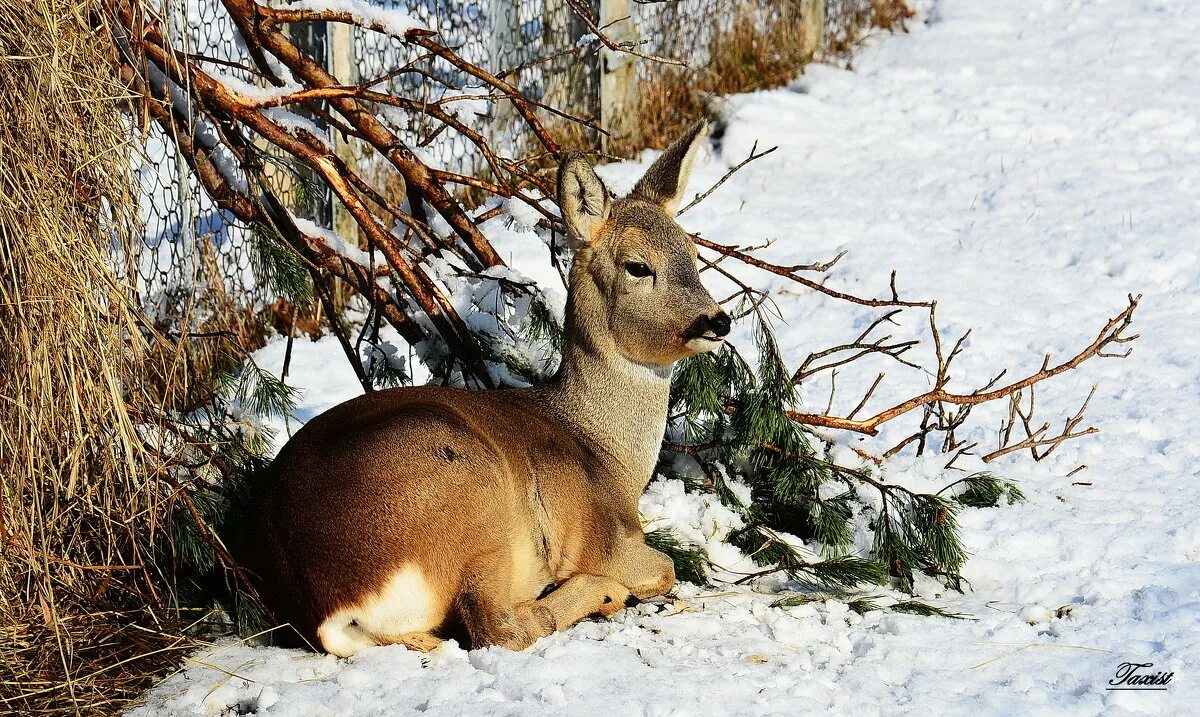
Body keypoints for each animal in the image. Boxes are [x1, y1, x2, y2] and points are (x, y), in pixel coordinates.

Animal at [248, 122, 724, 657]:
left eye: (694, 256)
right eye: (639, 266)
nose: (718, 320)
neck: (603, 453)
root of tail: (333, 603)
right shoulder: (599, 535)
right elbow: (663, 567)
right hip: (470, 496)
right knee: (495, 628)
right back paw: (593, 593)